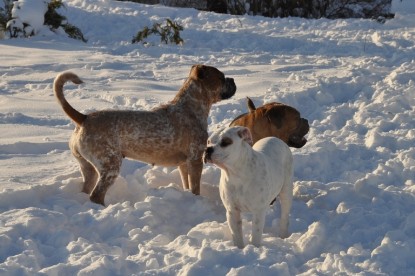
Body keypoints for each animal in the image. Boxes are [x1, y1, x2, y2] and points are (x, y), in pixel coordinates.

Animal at [54, 64, 237, 205]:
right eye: (221, 77)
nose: (233, 80)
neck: (190, 107)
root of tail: (84, 118)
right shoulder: (195, 159)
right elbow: (195, 187)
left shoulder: (184, 163)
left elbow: (187, 185)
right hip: (110, 165)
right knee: (96, 195)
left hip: (88, 167)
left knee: (86, 189)